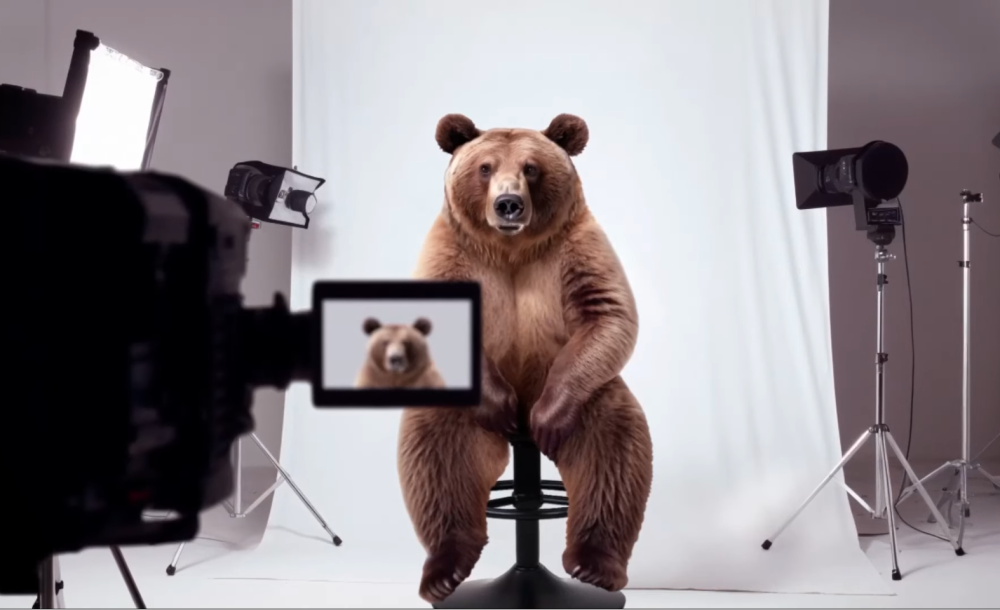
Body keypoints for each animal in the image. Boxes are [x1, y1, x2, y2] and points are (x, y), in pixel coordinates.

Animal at [397, 113, 654, 603]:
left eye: (531, 168)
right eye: (485, 167)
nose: (509, 204)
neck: (511, 249)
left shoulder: (578, 248)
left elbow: (607, 314)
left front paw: (548, 422)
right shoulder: (451, 251)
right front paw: (498, 406)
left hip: (588, 395)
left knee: (613, 448)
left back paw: (595, 566)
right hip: (455, 407)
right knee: (437, 452)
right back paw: (445, 570)